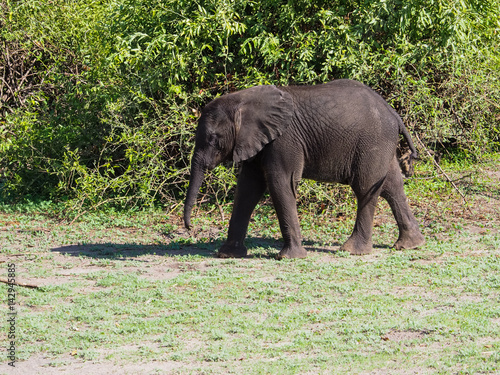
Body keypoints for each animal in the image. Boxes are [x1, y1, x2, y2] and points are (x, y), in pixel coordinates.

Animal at [184, 79, 426, 260]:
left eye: (213, 139)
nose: (189, 228)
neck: (243, 100)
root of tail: (394, 114)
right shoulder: (257, 141)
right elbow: (247, 189)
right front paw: (227, 254)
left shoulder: (284, 140)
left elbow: (280, 183)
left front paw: (290, 258)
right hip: (381, 144)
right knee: (392, 186)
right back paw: (410, 245)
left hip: (372, 142)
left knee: (365, 188)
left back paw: (353, 251)